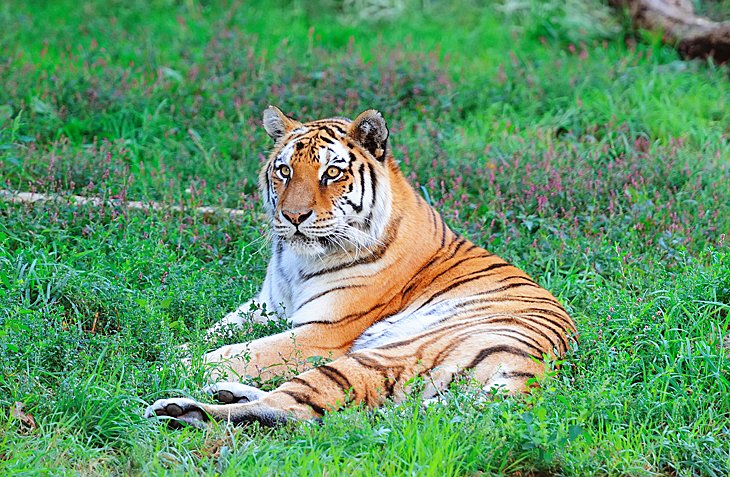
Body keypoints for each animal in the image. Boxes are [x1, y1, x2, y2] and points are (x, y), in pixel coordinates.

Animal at [142, 106, 576, 426]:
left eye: (331, 172)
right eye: (284, 170)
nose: (293, 217)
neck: (295, 261)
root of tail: (527, 377)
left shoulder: (322, 332)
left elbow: (241, 351)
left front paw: (172, 362)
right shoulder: (264, 306)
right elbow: (214, 333)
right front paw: (175, 346)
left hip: (371, 357)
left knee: (296, 408)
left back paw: (183, 410)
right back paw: (224, 391)